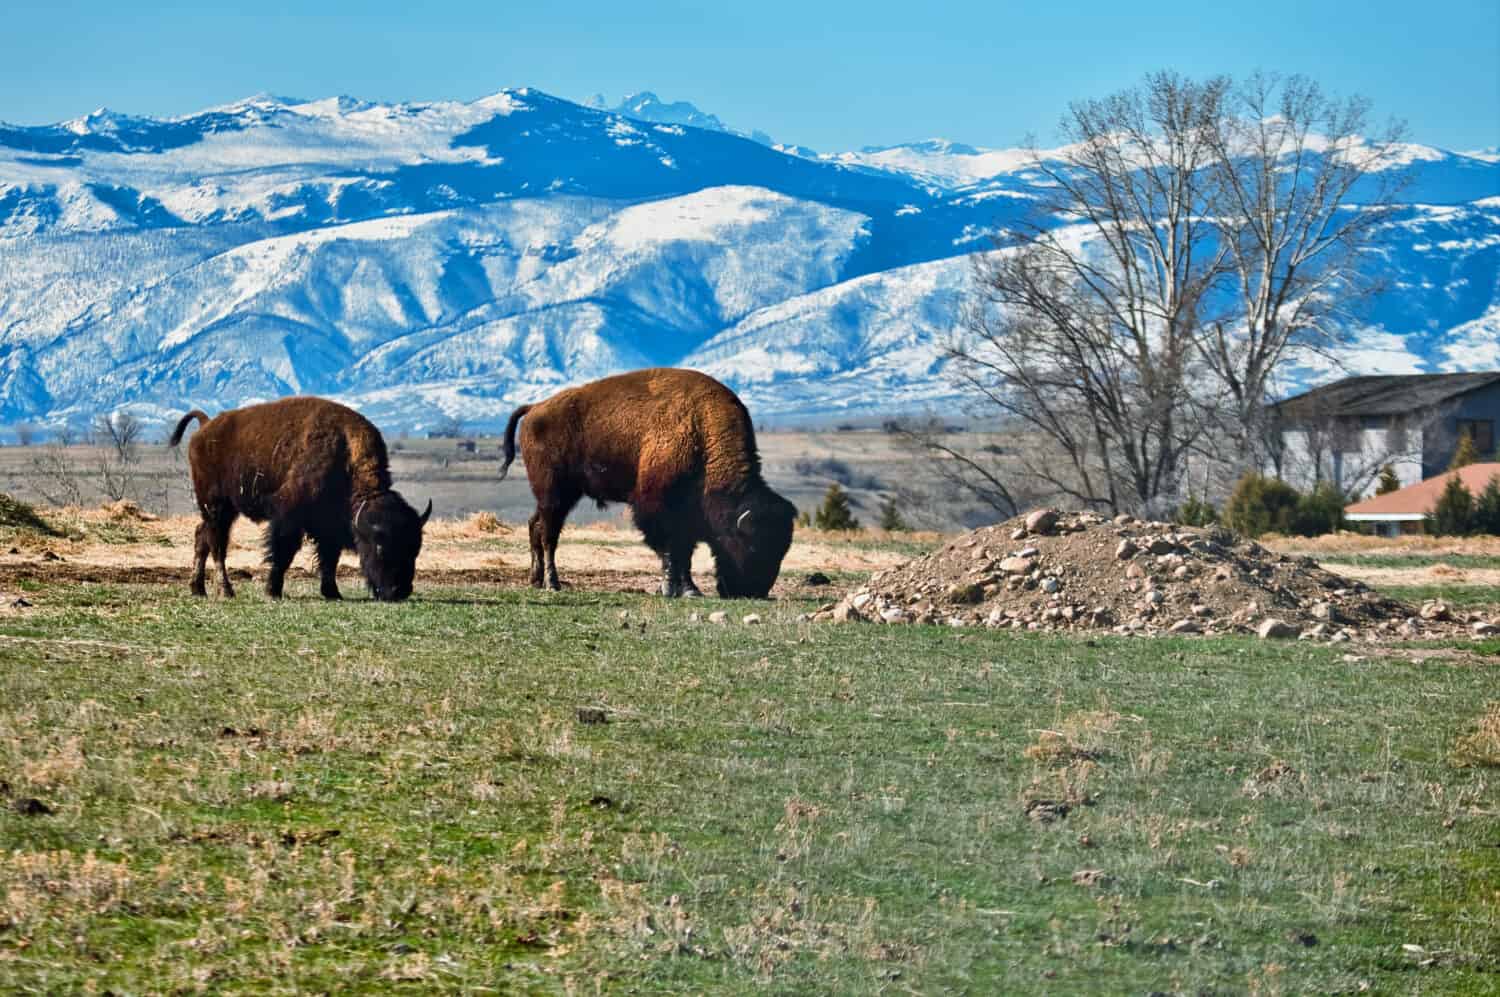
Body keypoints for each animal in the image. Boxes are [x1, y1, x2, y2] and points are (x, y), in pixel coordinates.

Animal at [176, 395, 438, 599]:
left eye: (415, 548)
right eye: (380, 545)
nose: (399, 591)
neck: (345, 455)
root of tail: (205, 427)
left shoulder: (329, 526)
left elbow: (329, 558)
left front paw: (332, 593)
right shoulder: (288, 516)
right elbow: (283, 552)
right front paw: (272, 592)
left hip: (222, 509)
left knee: (202, 537)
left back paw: (198, 589)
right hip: (217, 506)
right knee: (217, 545)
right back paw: (226, 591)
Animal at [498, 367, 798, 593]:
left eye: (782, 550)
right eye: (752, 544)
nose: (753, 591)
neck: (702, 433)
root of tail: (535, 408)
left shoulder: (687, 517)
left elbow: (684, 552)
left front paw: (689, 590)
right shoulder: (656, 507)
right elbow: (671, 550)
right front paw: (671, 588)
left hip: (558, 496)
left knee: (535, 525)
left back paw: (536, 580)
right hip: (554, 493)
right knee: (549, 534)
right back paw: (552, 583)